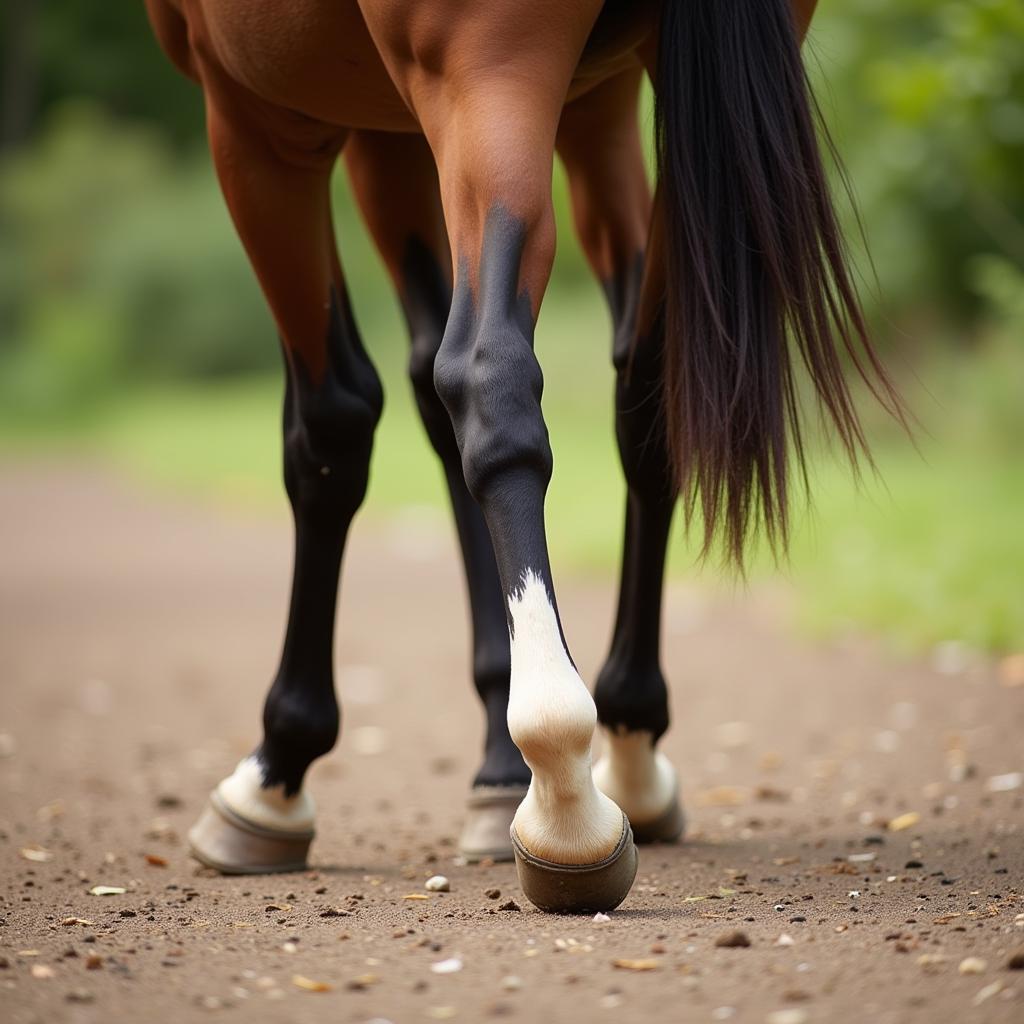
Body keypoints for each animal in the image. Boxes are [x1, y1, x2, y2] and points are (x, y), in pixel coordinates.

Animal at [148, 0, 901, 913]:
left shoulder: (262, 119)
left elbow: (335, 427)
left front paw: (276, 773)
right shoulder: (490, 116)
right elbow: (436, 394)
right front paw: (496, 763)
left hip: (482, 67)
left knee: (485, 370)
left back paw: (563, 782)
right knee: (650, 384)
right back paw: (626, 747)